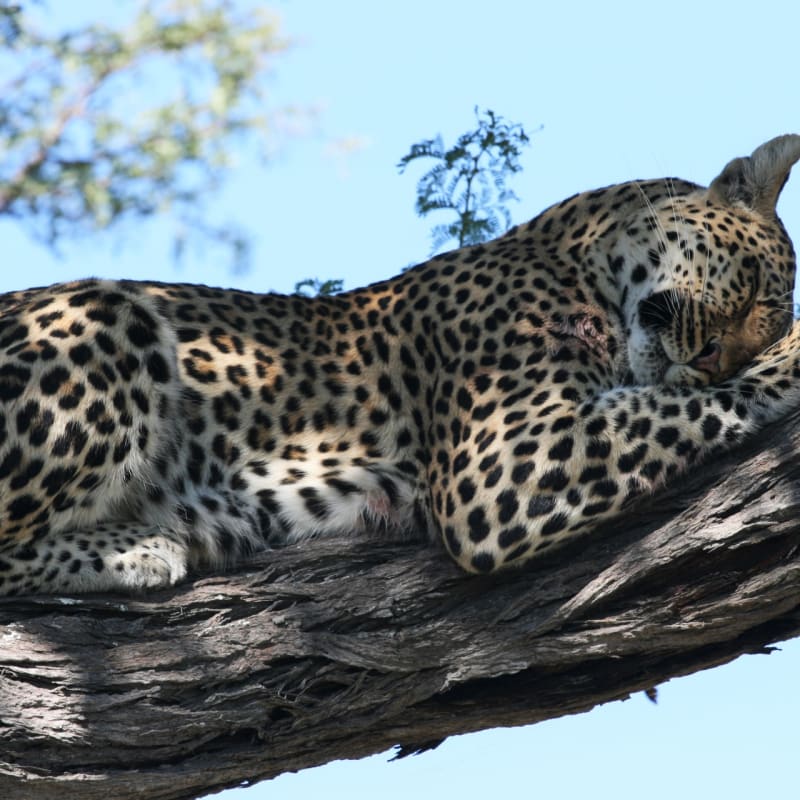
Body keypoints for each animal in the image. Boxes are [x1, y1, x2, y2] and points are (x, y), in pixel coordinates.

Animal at [1, 134, 800, 595]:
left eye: (754, 324)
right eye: (753, 287)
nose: (708, 356)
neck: (579, 256)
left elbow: (669, 400)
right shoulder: (498, 466)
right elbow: (681, 406)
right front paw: (792, 358)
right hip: (108, 312)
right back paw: (138, 546)